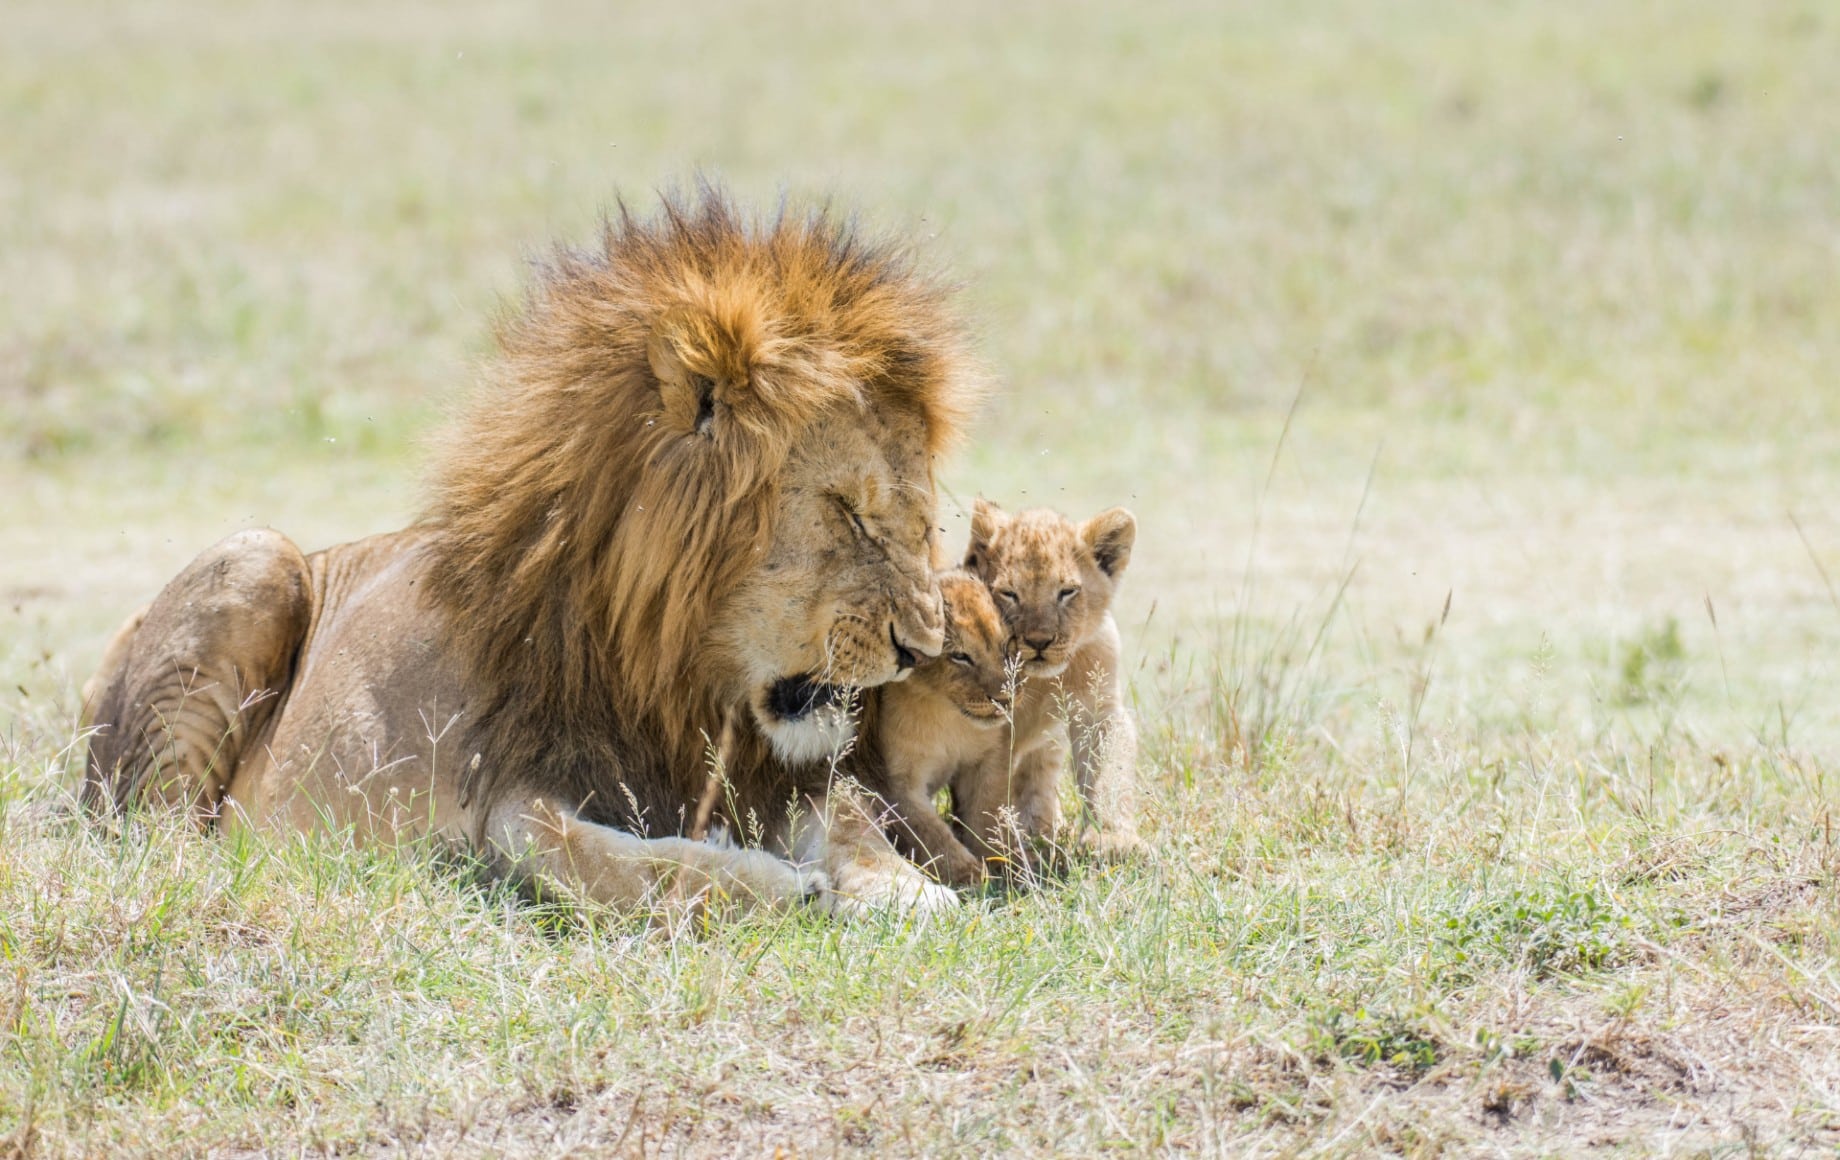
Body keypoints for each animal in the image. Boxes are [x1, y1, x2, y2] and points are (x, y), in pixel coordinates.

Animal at [82, 188, 978, 916]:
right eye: (850, 514)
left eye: (923, 521)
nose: (919, 651)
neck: (677, 677)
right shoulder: (509, 797)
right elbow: (620, 863)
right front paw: (779, 885)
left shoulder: (772, 771)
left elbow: (852, 820)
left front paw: (905, 887)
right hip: (254, 559)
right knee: (159, 838)